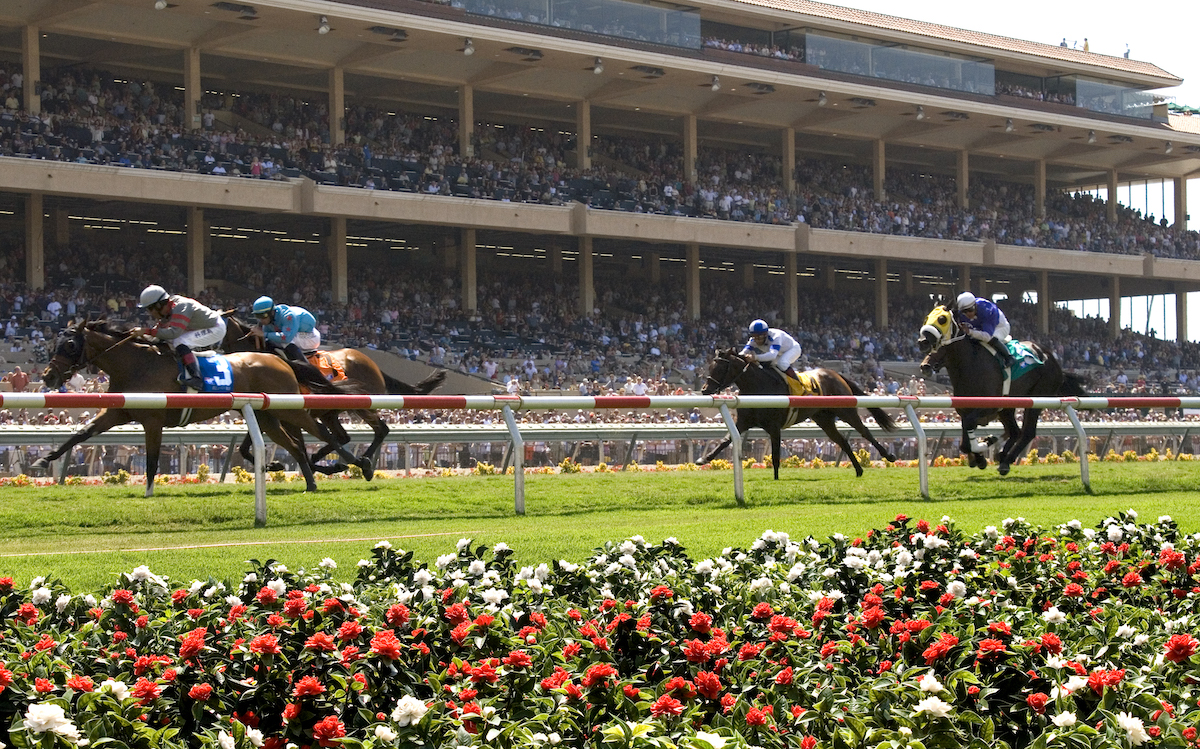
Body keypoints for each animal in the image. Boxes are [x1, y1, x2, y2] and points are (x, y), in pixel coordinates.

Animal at [36, 319, 369, 494]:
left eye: (70, 345)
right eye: (53, 343)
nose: (48, 375)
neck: (136, 363)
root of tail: (280, 360)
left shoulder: (153, 420)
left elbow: (153, 460)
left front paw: (148, 492)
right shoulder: (117, 410)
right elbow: (81, 434)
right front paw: (45, 459)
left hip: (289, 408)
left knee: (322, 433)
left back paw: (358, 463)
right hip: (268, 416)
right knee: (297, 445)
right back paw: (311, 482)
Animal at [223, 314, 448, 472]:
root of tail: (372, 363)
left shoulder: (288, 415)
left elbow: (297, 446)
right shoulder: (266, 411)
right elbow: (246, 447)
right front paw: (274, 465)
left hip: (362, 405)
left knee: (380, 430)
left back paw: (365, 464)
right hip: (329, 413)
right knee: (343, 437)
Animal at [700, 350, 897, 480]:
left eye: (719, 368)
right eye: (709, 366)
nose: (704, 390)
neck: (758, 386)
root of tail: (836, 374)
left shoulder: (774, 427)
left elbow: (775, 455)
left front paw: (776, 479)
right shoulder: (743, 422)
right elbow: (725, 440)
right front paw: (704, 458)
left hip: (846, 410)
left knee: (865, 431)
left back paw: (889, 456)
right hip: (824, 419)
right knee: (842, 441)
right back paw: (858, 470)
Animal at [916, 302, 1089, 472]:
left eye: (942, 319)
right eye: (926, 318)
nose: (922, 342)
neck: (970, 365)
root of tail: (1053, 360)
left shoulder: (989, 407)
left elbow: (969, 432)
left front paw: (986, 445)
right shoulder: (965, 410)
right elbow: (965, 441)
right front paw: (979, 456)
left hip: (1036, 399)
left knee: (1027, 432)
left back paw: (1006, 460)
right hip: (1008, 407)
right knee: (1014, 431)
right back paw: (1002, 455)